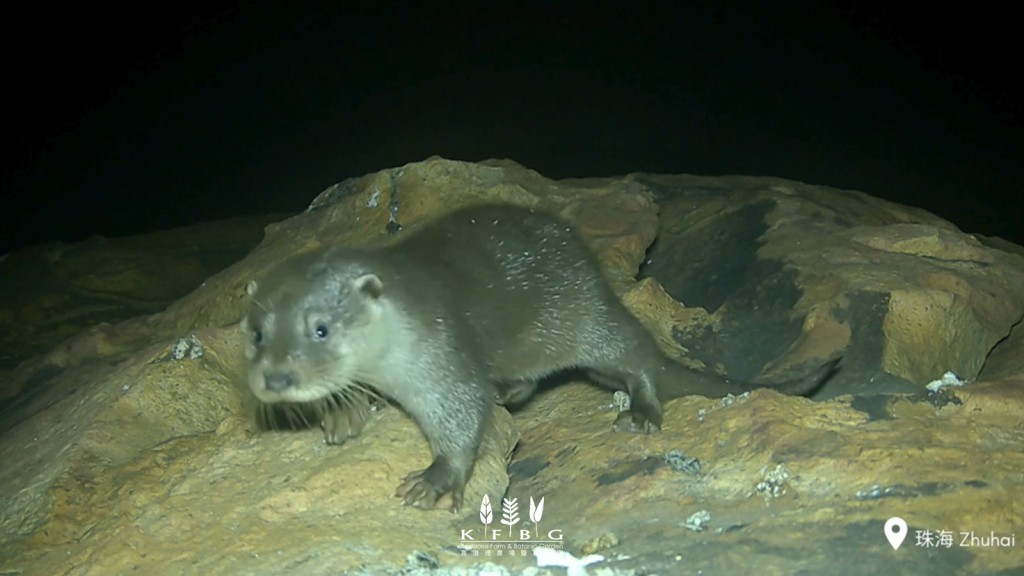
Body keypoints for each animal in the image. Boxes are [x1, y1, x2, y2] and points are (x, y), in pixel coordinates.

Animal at [241, 203, 839, 508]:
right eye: (257, 332)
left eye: (320, 329)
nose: (276, 379)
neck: (403, 319)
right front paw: (340, 412)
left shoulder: (443, 356)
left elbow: (463, 414)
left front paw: (436, 480)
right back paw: (509, 390)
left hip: (587, 320)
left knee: (639, 357)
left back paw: (641, 413)